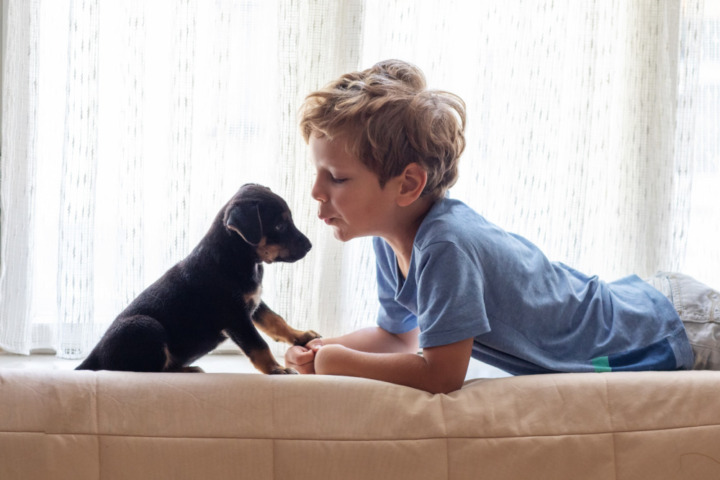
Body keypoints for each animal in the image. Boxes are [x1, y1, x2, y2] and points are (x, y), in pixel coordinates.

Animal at [75, 184, 318, 376]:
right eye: (279, 226)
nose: (309, 246)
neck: (239, 257)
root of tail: (91, 360)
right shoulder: (235, 315)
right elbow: (258, 343)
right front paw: (276, 369)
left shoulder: (253, 304)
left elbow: (276, 321)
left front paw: (301, 336)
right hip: (145, 326)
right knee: (147, 369)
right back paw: (188, 369)